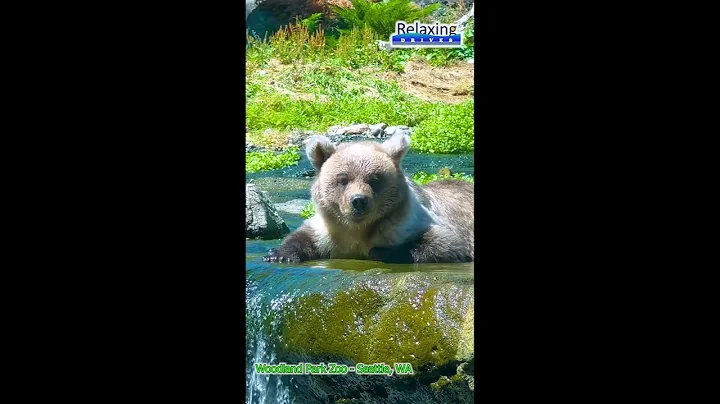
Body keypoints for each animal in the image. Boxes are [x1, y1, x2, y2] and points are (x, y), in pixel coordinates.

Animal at [262, 132, 474, 264]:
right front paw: (277, 254)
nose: (358, 200)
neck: (357, 229)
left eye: (374, 179)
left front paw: (381, 251)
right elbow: (303, 236)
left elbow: (444, 242)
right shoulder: (329, 230)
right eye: (343, 179)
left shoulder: (408, 222)